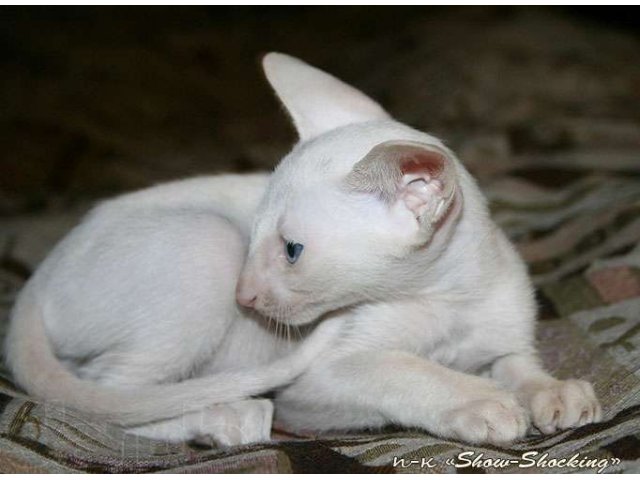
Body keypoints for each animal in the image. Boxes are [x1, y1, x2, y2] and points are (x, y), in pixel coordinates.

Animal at [5, 52, 600, 446]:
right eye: (259, 238)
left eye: (291, 251)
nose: (244, 297)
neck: (449, 298)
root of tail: (38, 279)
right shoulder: (314, 383)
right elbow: (402, 370)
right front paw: (476, 400)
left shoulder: (503, 337)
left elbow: (517, 364)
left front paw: (554, 393)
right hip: (208, 246)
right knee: (107, 400)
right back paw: (228, 418)